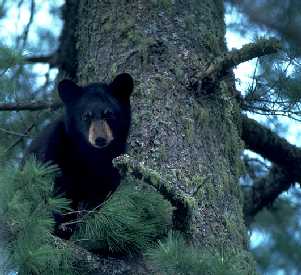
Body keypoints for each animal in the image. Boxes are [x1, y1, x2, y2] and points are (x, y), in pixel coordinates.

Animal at [27, 73, 132, 233]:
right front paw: (61, 227)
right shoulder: (55, 152)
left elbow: (102, 193)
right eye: (86, 116)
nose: (100, 139)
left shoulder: (112, 165)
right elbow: (58, 195)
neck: (90, 155)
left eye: (109, 114)